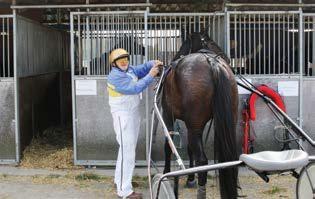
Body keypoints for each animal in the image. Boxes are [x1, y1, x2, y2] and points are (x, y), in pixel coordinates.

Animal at [160, 30, 239, 198]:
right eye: (211, 42)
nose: (228, 58)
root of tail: (213, 63)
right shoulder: (191, 124)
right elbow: (190, 149)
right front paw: (190, 178)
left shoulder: (168, 116)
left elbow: (168, 145)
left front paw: (166, 174)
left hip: (193, 125)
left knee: (202, 160)